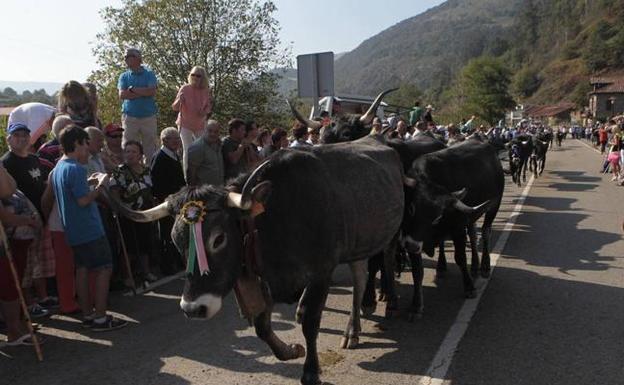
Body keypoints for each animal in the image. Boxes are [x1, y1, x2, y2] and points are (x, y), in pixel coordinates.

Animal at [106, 138, 404, 384]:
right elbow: (261, 327)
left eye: (218, 239)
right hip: (358, 242)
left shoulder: (322, 271)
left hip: (390, 235)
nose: (193, 309)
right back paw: (353, 329)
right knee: (360, 276)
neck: (279, 215)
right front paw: (291, 350)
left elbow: (310, 321)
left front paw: (310, 371)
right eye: (176, 241)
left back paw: (388, 304)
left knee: (382, 266)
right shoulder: (264, 277)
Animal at [400, 138, 508, 318]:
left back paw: (484, 266)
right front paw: (416, 305)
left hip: (494, 205)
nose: (411, 245)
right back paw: (463, 266)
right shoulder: (411, 234)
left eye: (437, 217)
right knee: (472, 234)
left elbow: (460, 258)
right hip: (471, 218)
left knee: (486, 232)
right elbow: (417, 271)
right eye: (411, 208)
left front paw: (469, 287)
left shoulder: (457, 229)